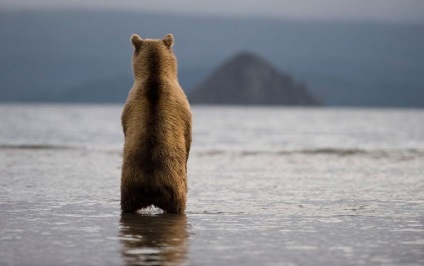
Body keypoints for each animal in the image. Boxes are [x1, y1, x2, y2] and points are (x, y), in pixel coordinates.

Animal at [120, 33, 191, 214]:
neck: (155, 74)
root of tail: (151, 185)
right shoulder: (183, 106)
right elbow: (188, 138)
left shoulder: (128, 107)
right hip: (174, 188)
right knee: (179, 204)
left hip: (130, 185)